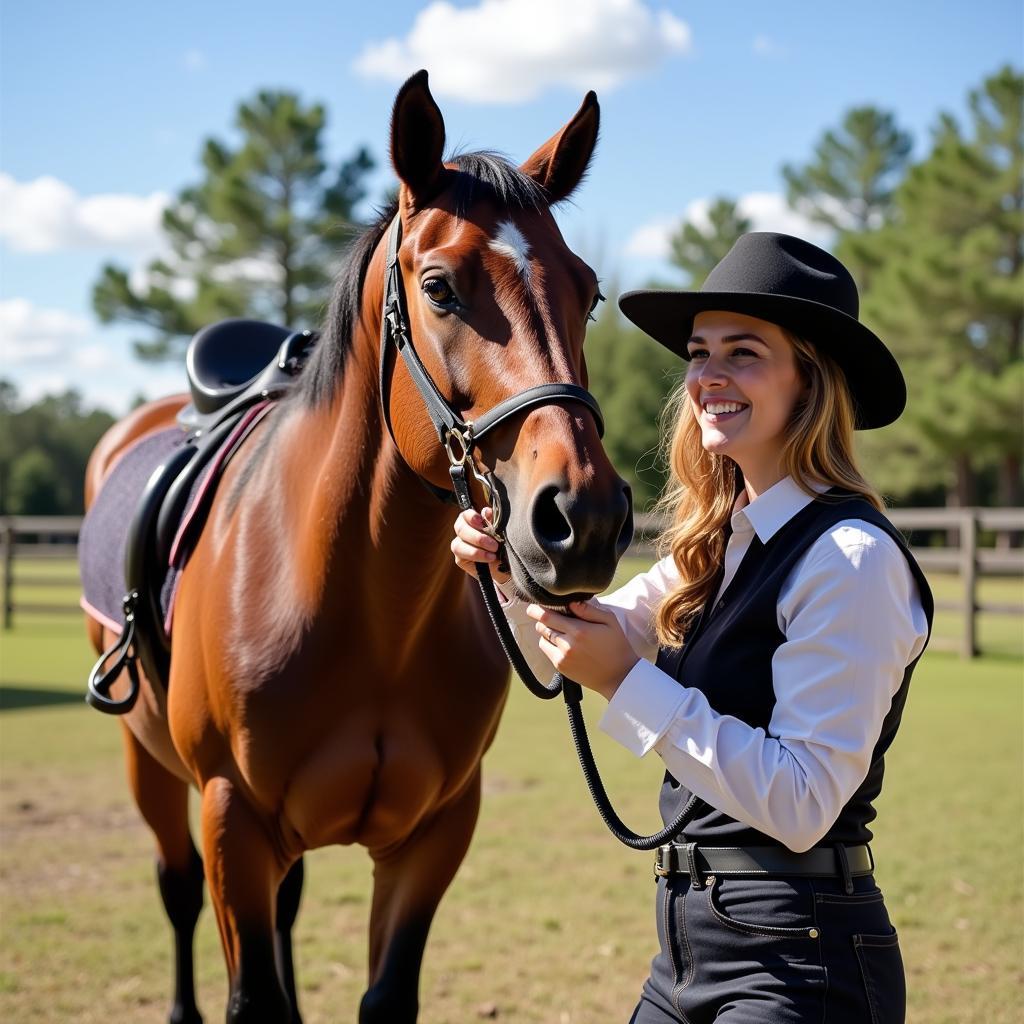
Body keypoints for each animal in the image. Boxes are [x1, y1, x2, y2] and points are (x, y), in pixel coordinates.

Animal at [83, 72, 630, 1024]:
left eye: (588, 291)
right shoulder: (232, 823)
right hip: (149, 767)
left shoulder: (434, 835)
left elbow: (383, 994)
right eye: (440, 287)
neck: (367, 610)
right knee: (175, 887)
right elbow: (250, 993)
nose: (583, 517)